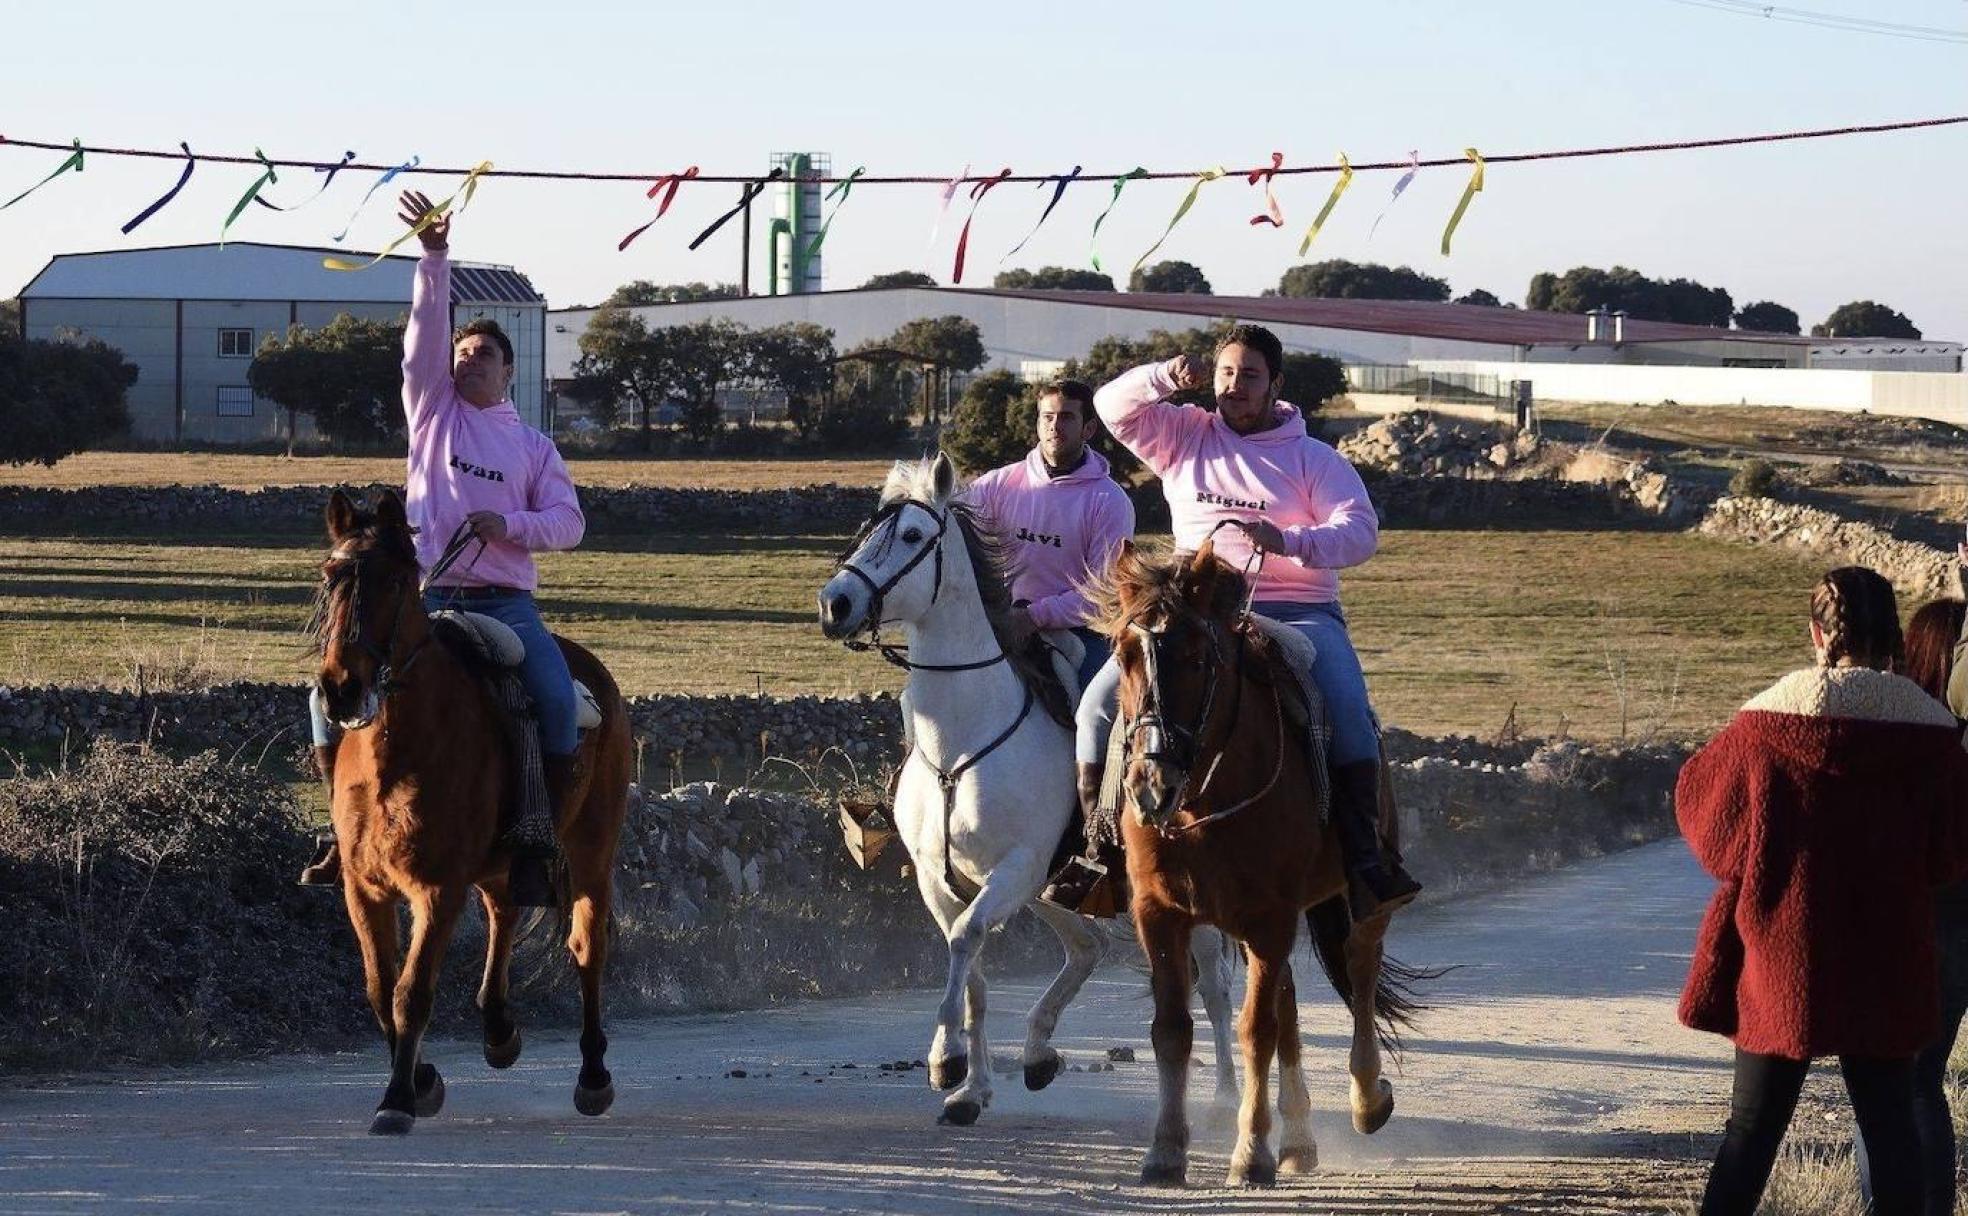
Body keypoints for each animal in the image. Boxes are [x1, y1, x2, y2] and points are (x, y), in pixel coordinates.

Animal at [312, 487, 629, 1133]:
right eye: (330, 575)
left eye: (393, 580)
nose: (341, 687)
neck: (397, 753)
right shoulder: (364, 888)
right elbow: (379, 988)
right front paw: (422, 1081)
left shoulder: (437, 888)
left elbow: (411, 993)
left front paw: (398, 1099)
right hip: (500, 865)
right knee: (504, 913)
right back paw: (498, 1029)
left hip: (591, 850)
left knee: (587, 948)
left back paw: (593, 1077)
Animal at [814, 456, 1228, 1125]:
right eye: (868, 527)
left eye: (911, 535)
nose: (836, 604)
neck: (961, 740)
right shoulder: (943, 877)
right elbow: (974, 975)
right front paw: (970, 1088)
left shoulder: (1013, 869)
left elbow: (966, 942)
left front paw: (945, 1059)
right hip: (1052, 891)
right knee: (1086, 948)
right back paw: (1037, 1054)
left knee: (1214, 981)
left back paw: (1224, 1097)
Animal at [1102, 539, 1424, 1180]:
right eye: (1123, 654)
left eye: (1197, 657)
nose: (1150, 784)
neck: (1204, 801)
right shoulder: (1159, 915)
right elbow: (1172, 1029)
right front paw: (1165, 1150)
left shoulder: (1272, 918)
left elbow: (1257, 1029)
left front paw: (1250, 1153)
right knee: (1291, 1001)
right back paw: (1298, 1140)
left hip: (1357, 897)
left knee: (1360, 967)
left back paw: (1365, 1098)